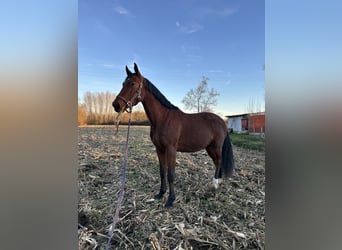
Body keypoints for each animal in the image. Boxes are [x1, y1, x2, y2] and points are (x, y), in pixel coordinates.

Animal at [112, 64, 235, 207]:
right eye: (123, 83)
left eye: (132, 83)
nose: (116, 105)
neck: (163, 118)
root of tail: (222, 121)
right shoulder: (159, 149)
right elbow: (162, 172)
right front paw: (161, 194)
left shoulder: (171, 149)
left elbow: (171, 174)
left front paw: (171, 199)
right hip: (209, 147)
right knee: (217, 162)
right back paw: (218, 182)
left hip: (215, 147)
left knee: (219, 161)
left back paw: (215, 185)